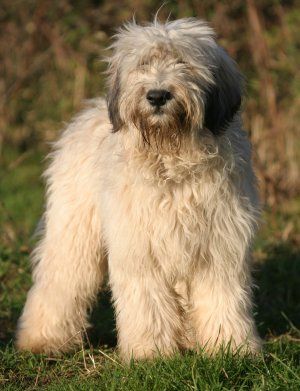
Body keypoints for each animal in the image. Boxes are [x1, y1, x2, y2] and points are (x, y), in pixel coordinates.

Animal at [16, 19, 262, 362]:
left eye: (182, 62)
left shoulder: (219, 246)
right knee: (60, 282)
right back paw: (42, 338)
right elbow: (148, 304)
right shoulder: (140, 248)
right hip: (73, 232)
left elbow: (222, 299)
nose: (157, 95)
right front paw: (151, 352)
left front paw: (230, 347)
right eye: (144, 64)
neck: (171, 158)